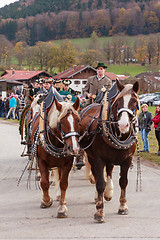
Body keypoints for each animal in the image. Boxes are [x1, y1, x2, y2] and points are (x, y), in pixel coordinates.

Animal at [79, 79, 139, 222]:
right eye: (118, 102)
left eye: (134, 101)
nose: (123, 125)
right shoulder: (99, 159)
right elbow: (100, 183)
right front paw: (99, 212)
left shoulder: (127, 160)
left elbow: (123, 182)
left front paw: (123, 206)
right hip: (91, 157)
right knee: (96, 176)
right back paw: (98, 197)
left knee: (110, 171)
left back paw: (108, 192)